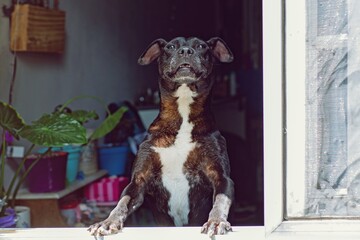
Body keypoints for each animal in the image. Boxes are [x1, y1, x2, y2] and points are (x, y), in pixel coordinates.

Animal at [89, 37, 236, 238]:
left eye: (201, 46)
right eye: (171, 46)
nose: (185, 51)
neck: (182, 118)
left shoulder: (222, 178)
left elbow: (220, 201)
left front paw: (216, 221)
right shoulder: (138, 181)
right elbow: (122, 203)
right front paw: (107, 221)